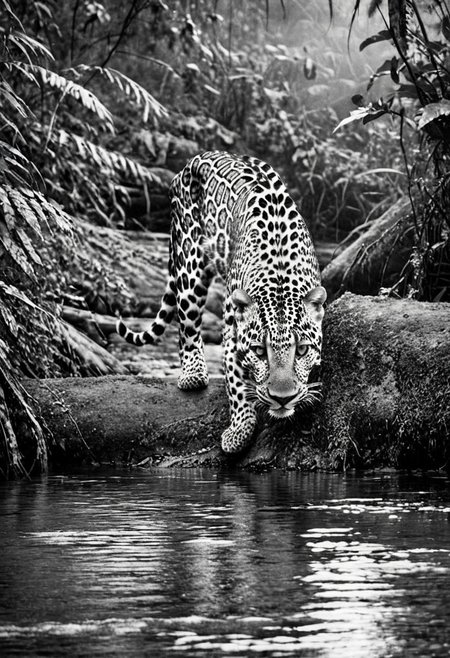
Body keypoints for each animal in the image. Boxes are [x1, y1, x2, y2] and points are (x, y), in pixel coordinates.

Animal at [117, 151, 327, 453]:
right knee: (186, 326)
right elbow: (237, 386)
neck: (279, 271)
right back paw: (193, 373)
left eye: (302, 350)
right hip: (189, 265)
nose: (282, 398)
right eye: (259, 351)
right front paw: (238, 432)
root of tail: (198, 157)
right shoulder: (231, 333)